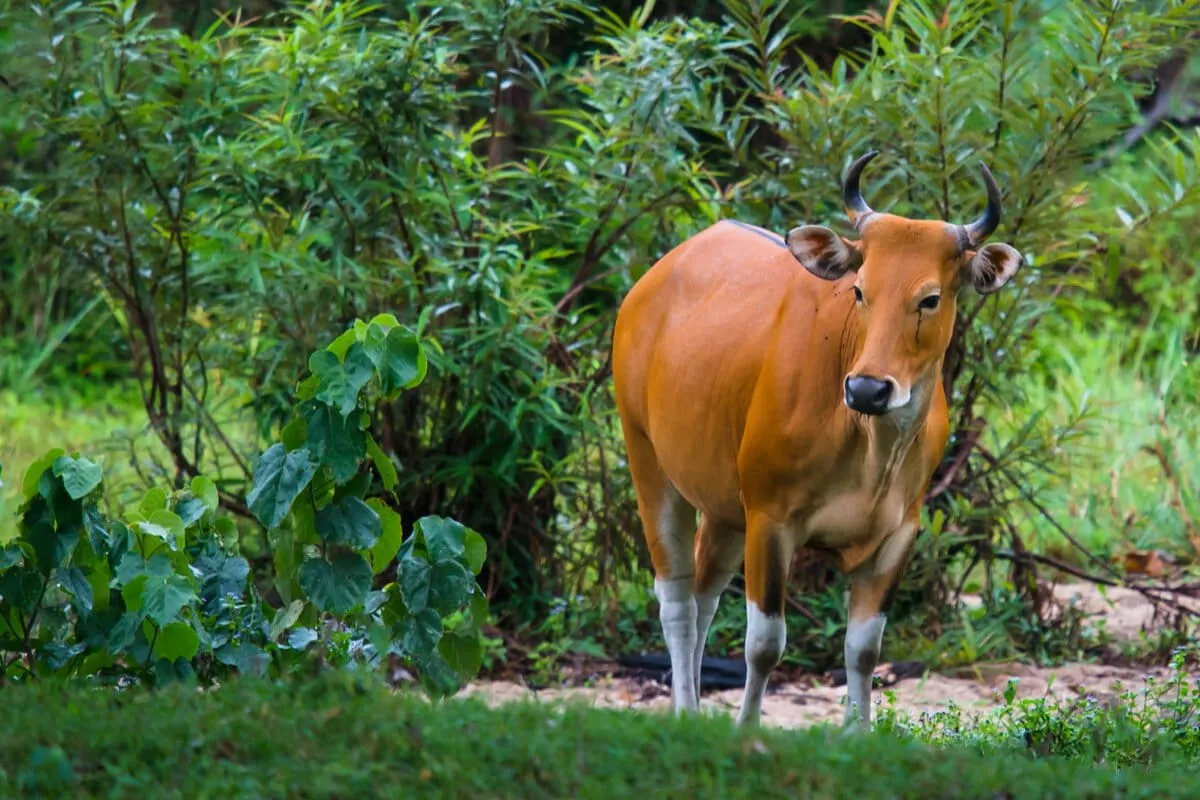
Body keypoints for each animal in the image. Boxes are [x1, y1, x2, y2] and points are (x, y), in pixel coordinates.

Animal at [611, 151, 1024, 727]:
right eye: (859, 289)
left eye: (930, 298)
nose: (868, 388)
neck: (871, 451)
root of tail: (648, 285)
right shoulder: (770, 519)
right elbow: (765, 643)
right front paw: (747, 729)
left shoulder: (899, 533)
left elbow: (864, 648)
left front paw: (857, 731)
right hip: (646, 458)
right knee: (675, 599)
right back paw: (687, 711)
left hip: (723, 506)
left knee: (703, 597)